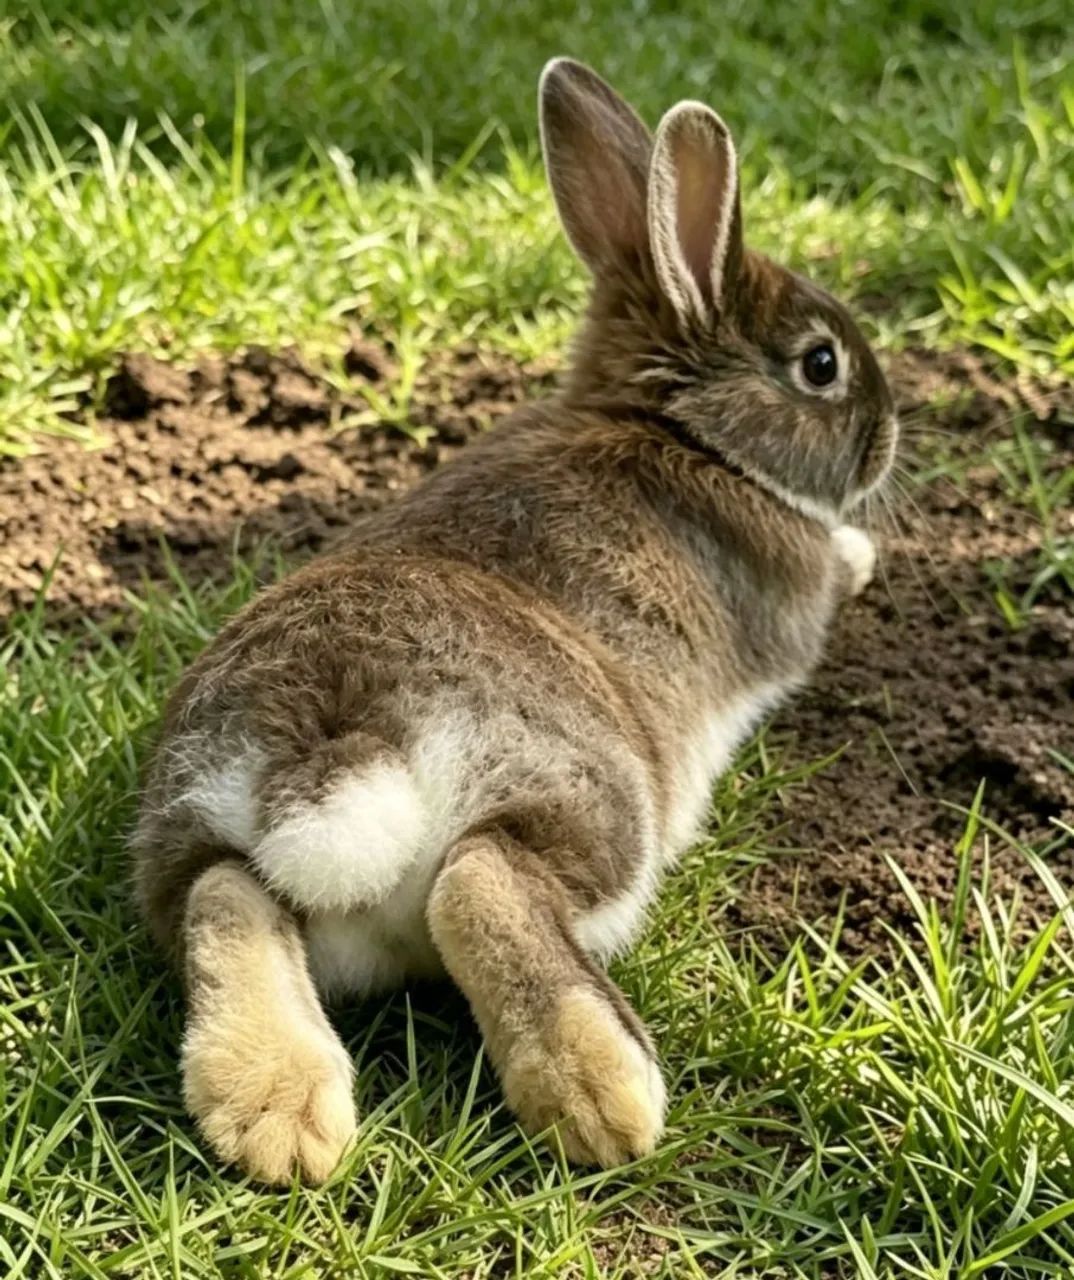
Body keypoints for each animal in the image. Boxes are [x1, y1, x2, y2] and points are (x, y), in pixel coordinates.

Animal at [131, 56, 897, 1186]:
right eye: (820, 364)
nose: (887, 437)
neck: (686, 433)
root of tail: (344, 739)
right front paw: (865, 551)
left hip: (195, 826)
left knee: (222, 894)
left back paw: (277, 1118)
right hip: (591, 798)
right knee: (482, 879)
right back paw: (601, 1098)